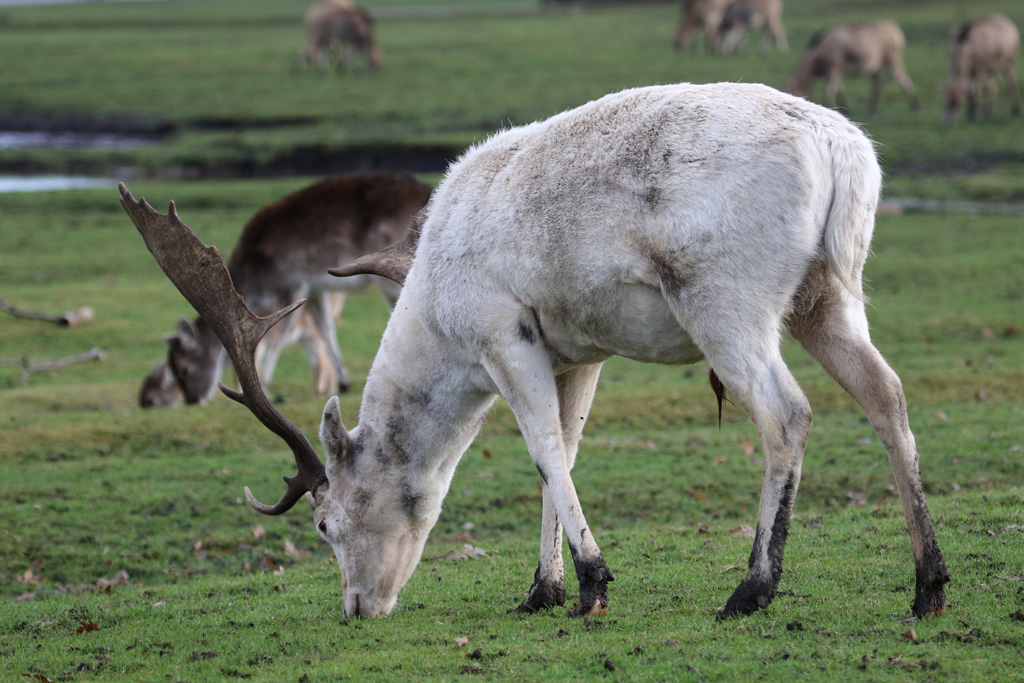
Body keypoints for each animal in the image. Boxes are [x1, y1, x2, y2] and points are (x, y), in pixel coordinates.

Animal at [158, 173, 432, 406]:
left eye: (184, 368)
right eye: (171, 367)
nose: (192, 400)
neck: (258, 275)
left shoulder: (291, 283)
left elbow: (279, 335)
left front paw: (266, 383)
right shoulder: (315, 288)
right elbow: (325, 329)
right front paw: (343, 382)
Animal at [784, 20, 919, 114]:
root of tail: (894, 28)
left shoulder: (834, 68)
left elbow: (830, 90)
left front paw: (829, 106)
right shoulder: (835, 71)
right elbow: (840, 88)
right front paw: (846, 108)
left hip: (892, 60)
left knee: (904, 80)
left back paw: (915, 106)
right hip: (875, 67)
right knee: (877, 86)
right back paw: (872, 110)